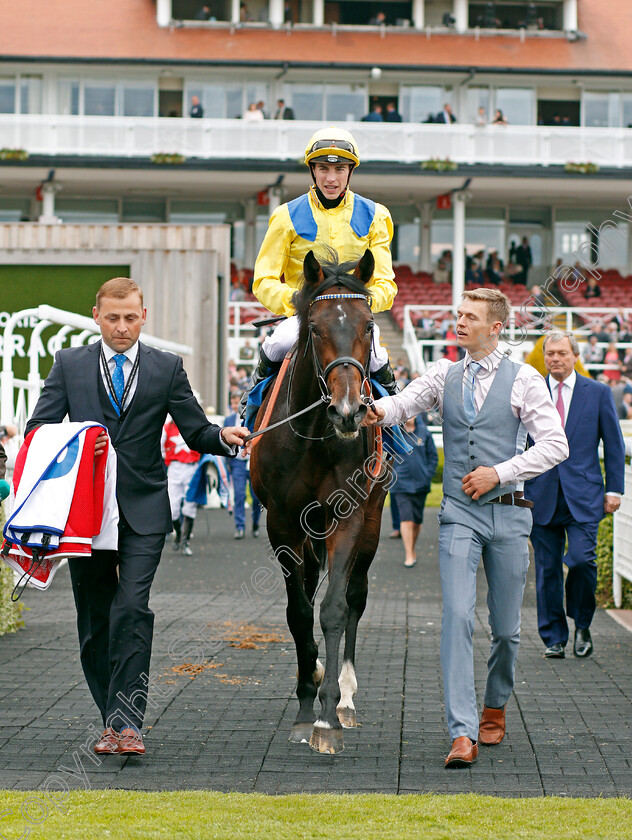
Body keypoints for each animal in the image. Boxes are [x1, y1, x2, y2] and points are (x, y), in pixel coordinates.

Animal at [248, 249, 388, 756]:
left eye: (368, 324)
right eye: (314, 328)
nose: (348, 412)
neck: (314, 435)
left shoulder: (348, 517)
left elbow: (334, 609)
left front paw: (327, 716)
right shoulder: (282, 522)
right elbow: (297, 611)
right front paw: (306, 703)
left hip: (372, 520)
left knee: (355, 595)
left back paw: (345, 696)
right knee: (308, 586)